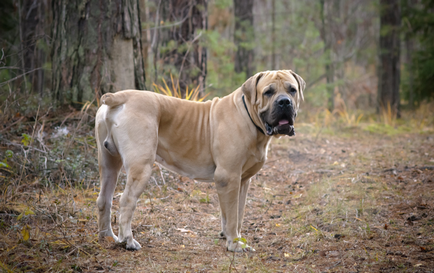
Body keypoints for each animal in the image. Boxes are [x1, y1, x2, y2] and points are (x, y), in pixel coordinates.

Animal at [95, 69, 306, 251]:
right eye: (268, 92)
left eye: (292, 89)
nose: (284, 102)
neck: (249, 118)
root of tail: (119, 96)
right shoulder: (228, 177)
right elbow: (232, 214)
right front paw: (234, 244)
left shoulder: (242, 181)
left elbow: (235, 214)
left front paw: (231, 237)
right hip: (141, 167)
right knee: (126, 201)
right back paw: (128, 241)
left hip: (109, 164)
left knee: (104, 199)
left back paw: (108, 237)